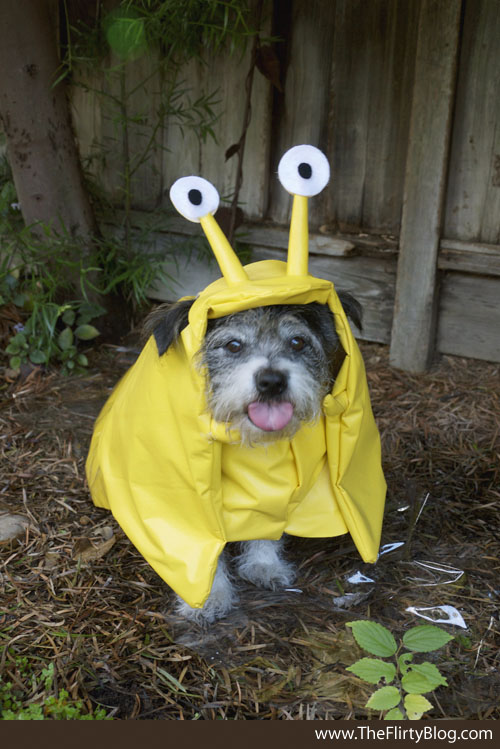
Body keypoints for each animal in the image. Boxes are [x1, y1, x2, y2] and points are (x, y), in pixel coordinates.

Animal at [143, 290, 362, 624]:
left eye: (297, 342)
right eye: (233, 345)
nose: (272, 381)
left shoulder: (270, 491)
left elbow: (265, 525)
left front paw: (264, 564)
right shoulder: (190, 510)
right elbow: (204, 553)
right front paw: (209, 598)